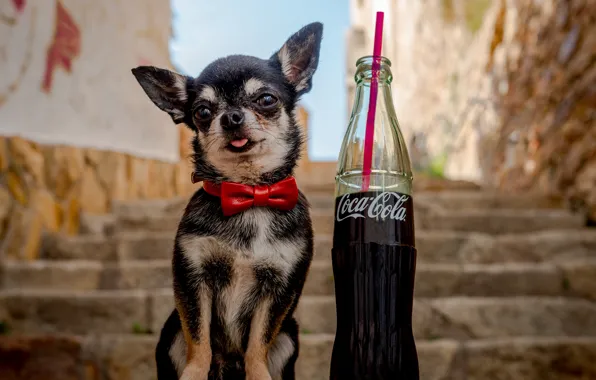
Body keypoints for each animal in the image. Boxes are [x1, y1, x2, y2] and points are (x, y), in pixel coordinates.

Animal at [133, 21, 324, 380]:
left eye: (266, 99)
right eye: (203, 112)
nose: (231, 117)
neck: (247, 193)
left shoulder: (279, 289)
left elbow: (258, 343)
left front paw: (259, 375)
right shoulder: (194, 280)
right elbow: (199, 339)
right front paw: (193, 375)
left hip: (289, 335)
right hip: (170, 331)